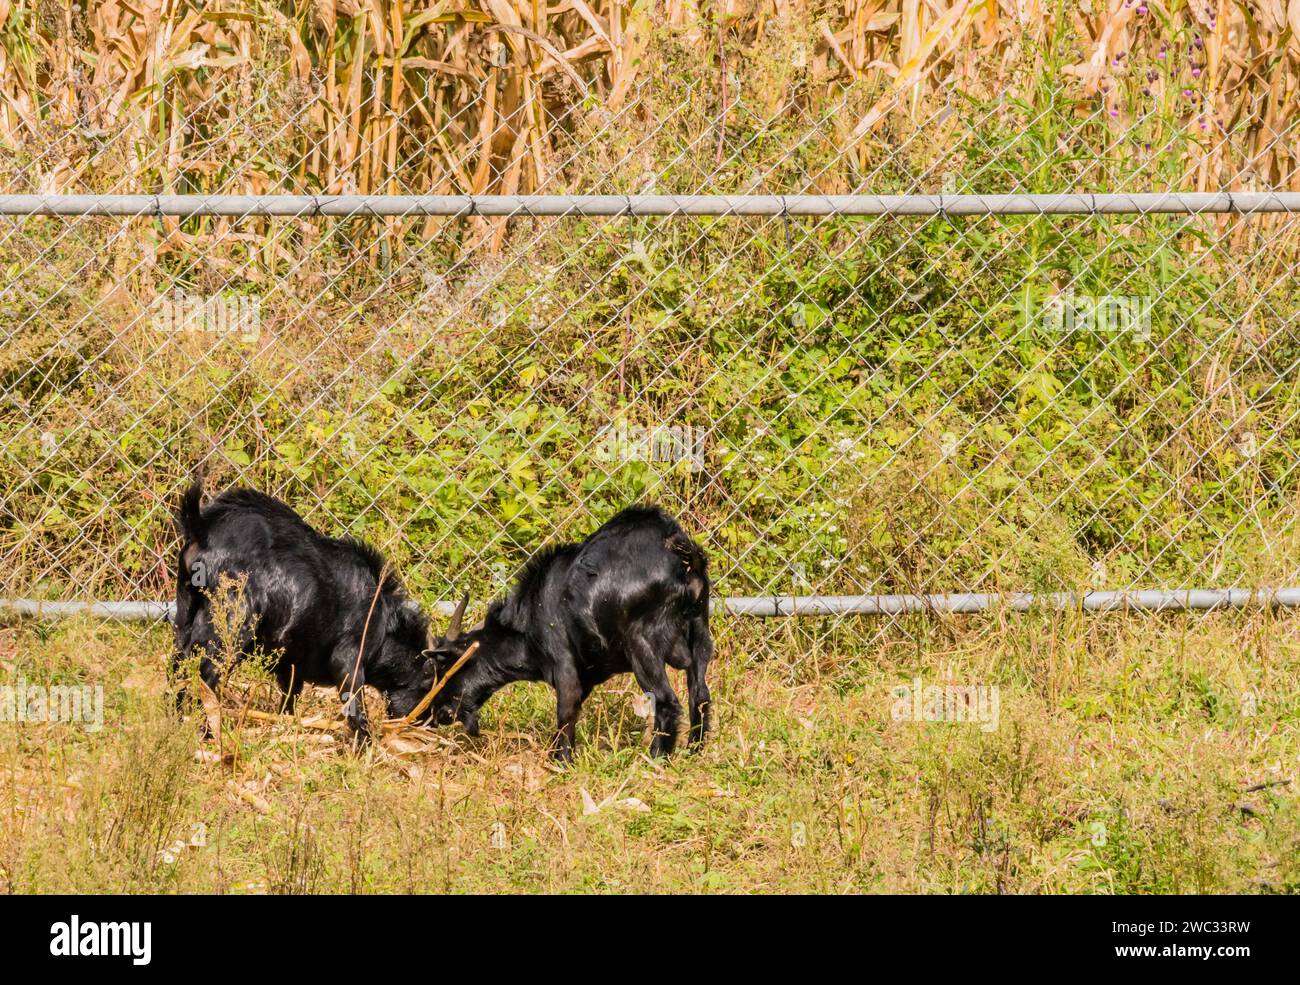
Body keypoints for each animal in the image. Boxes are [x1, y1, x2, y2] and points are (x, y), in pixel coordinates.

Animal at [171, 475, 452, 743]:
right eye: (429, 682)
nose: (430, 722)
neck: (384, 621)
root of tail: (202, 529)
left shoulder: (290, 661)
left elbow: (290, 699)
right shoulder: (349, 655)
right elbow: (354, 703)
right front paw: (365, 745)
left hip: (186, 611)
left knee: (179, 664)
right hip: (232, 621)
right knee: (207, 673)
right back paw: (208, 732)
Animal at [423, 509, 712, 764]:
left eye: (444, 667)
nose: (435, 716)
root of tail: (678, 552)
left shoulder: (563, 661)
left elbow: (566, 709)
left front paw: (561, 762)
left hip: (642, 645)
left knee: (666, 701)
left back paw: (655, 759)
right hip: (700, 631)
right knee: (699, 695)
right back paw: (693, 752)